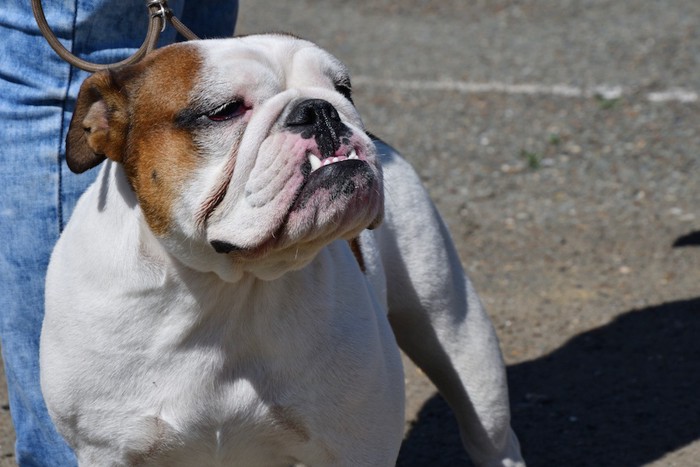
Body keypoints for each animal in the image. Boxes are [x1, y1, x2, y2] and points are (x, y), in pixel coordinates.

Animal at [38, 34, 520, 466]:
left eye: (344, 89)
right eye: (224, 111)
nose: (320, 109)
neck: (223, 285)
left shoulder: (357, 445)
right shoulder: (107, 450)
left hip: (460, 340)